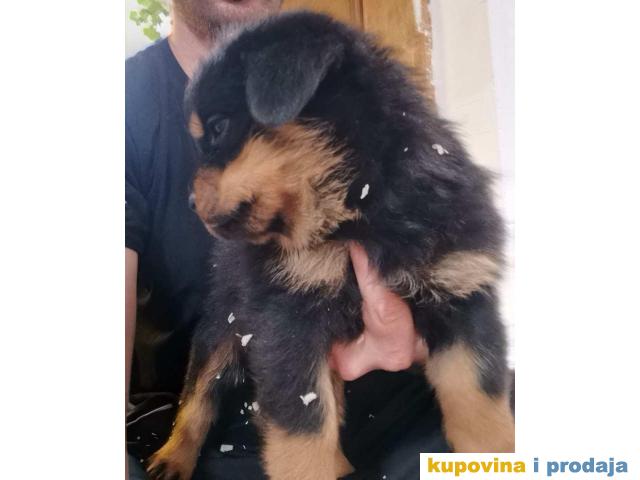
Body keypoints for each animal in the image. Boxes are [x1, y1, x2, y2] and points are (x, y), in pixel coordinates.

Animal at [147, 10, 515, 480]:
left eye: (218, 128)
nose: (191, 203)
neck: (357, 210)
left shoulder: (464, 296)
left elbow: (482, 410)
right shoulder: (286, 322)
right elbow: (301, 438)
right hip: (221, 325)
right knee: (197, 396)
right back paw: (171, 457)